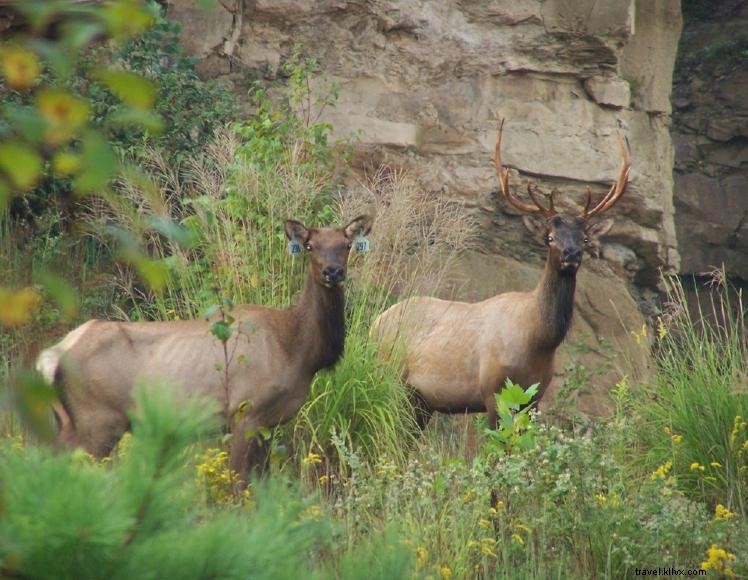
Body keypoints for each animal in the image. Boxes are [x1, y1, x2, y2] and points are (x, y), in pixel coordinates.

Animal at [36, 216, 372, 480]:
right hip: (97, 421)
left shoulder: (268, 423)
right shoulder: (245, 411)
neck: (300, 353)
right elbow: (240, 483)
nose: (333, 272)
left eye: (346, 245)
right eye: (310, 246)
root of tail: (50, 357)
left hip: (67, 424)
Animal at [372, 121, 628, 430]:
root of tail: (374, 322)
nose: (571, 253)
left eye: (585, 239)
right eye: (550, 238)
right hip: (391, 374)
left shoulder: (534, 397)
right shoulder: (492, 390)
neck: (538, 340)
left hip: (419, 400)